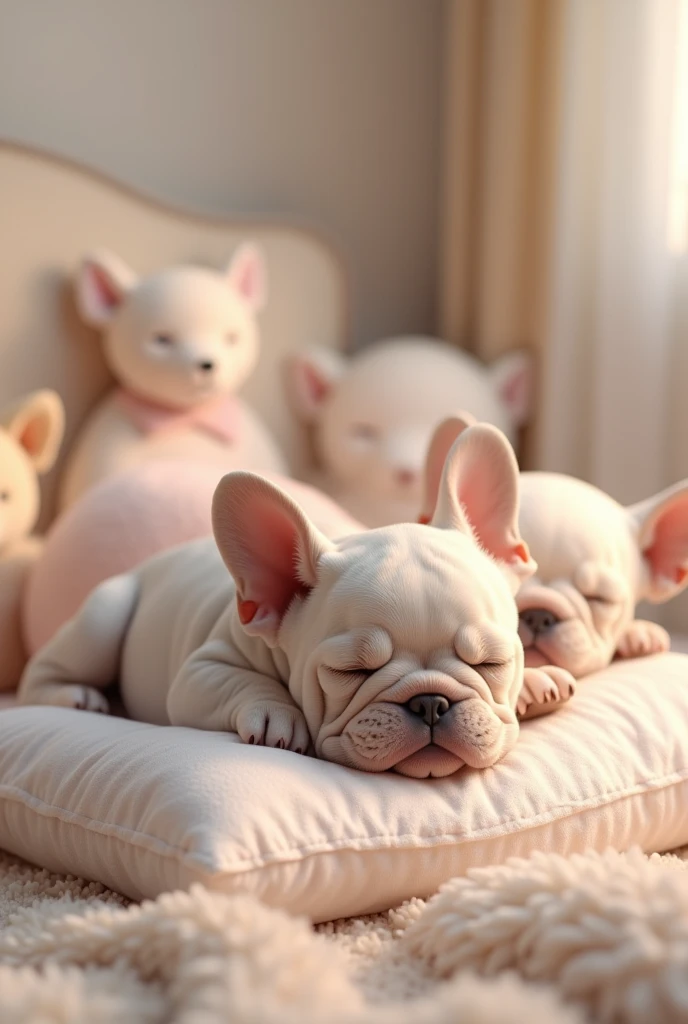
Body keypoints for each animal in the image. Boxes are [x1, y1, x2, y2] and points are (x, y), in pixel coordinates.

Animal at [18, 421, 573, 774]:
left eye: (491, 663)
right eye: (352, 672)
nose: (431, 702)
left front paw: (535, 681)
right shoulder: (200, 672)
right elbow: (241, 683)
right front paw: (275, 715)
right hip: (103, 618)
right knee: (38, 678)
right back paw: (78, 696)